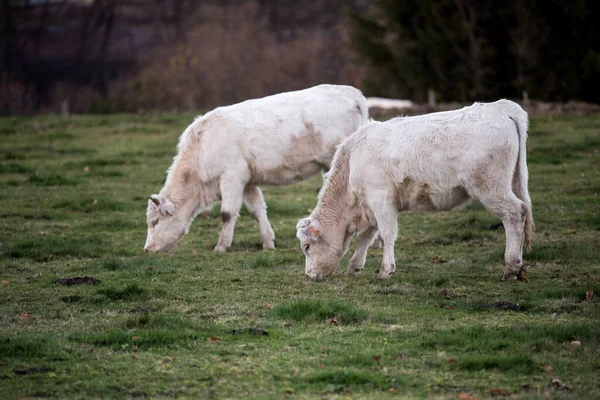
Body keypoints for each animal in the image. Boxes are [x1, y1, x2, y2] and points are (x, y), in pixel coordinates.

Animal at [145, 85, 368, 253]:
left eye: (154, 222)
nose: (147, 249)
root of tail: (351, 93)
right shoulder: (248, 182)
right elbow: (257, 211)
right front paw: (268, 242)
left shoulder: (231, 177)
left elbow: (227, 213)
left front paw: (221, 246)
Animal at [298, 100, 536, 282]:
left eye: (307, 247)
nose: (310, 275)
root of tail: (500, 108)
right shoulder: (370, 206)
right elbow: (366, 237)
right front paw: (355, 266)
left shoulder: (381, 199)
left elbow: (386, 234)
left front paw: (386, 270)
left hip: (491, 187)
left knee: (514, 213)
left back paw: (512, 266)